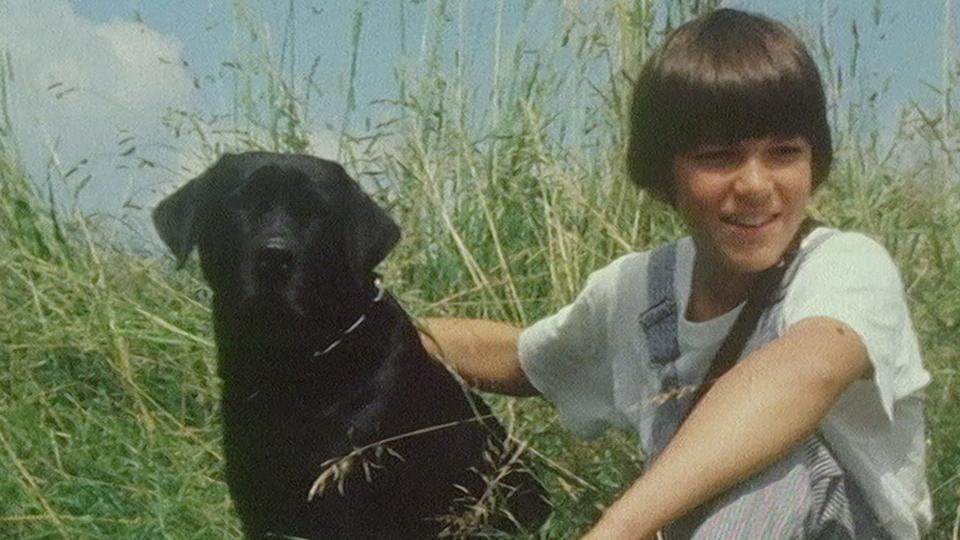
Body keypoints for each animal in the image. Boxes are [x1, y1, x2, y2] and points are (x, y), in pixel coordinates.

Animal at [154, 153, 552, 540]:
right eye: (241, 203)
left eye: (317, 212)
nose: (275, 256)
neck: (289, 366)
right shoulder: (257, 503)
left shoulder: (342, 495)